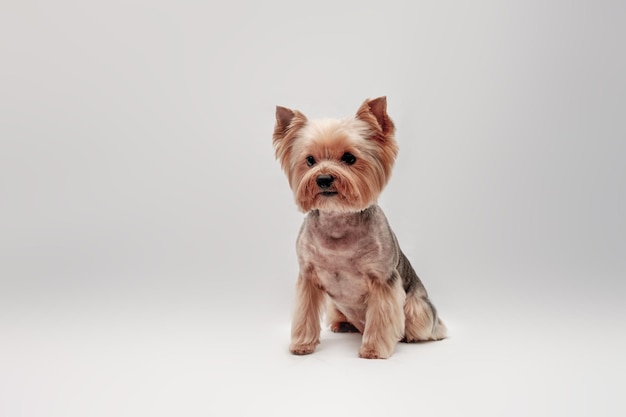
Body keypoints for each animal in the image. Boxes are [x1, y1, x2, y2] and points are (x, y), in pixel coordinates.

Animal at [272, 95, 444, 358]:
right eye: (310, 160)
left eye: (349, 158)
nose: (323, 178)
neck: (338, 220)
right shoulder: (308, 277)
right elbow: (305, 313)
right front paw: (301, 344)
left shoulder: (383, 281)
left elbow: (382, 317)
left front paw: (373, 350)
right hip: (336, 306)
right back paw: (342, 324)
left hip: (418, 308)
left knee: (423, 324)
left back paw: (412, 337)